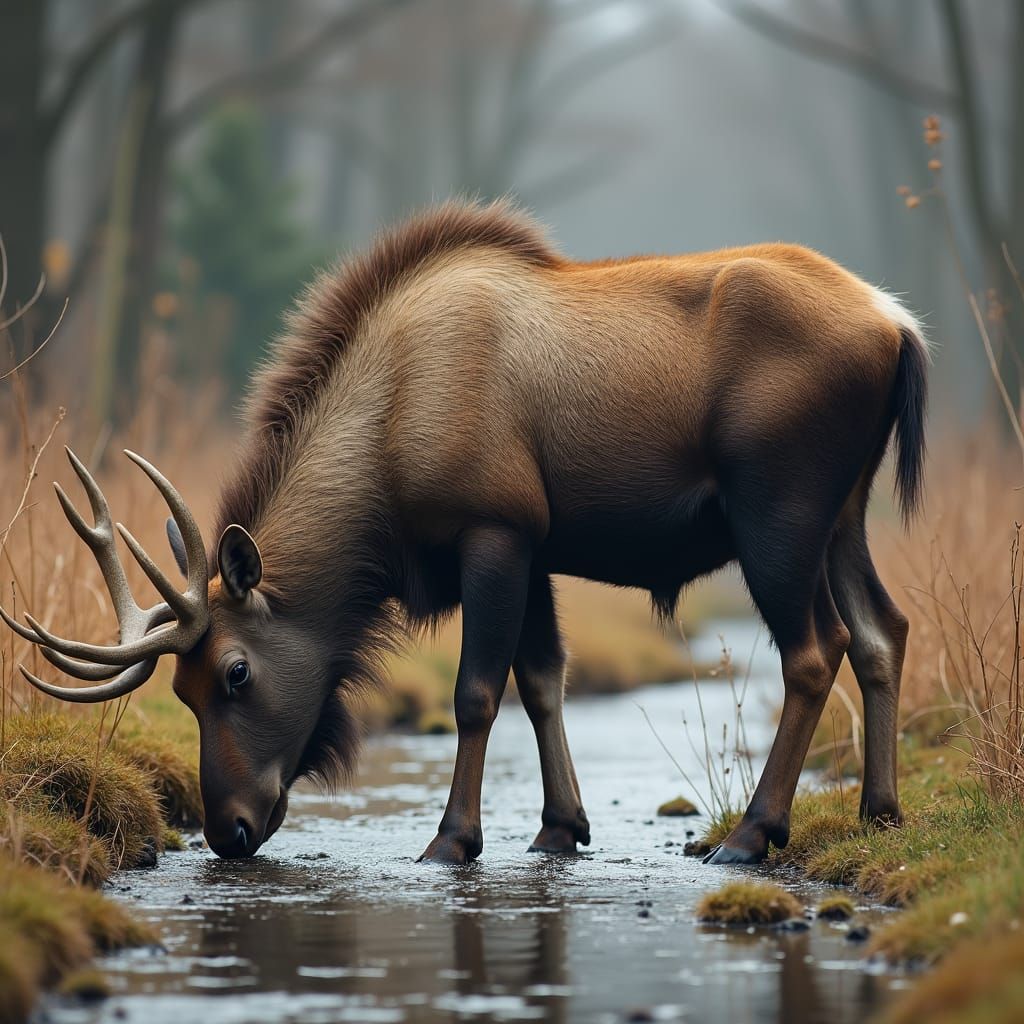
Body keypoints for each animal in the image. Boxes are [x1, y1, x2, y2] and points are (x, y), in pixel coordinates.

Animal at [1, 200, 927, 865]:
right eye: (182, 690)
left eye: (235, 671)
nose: (228, 830)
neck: (382, 458)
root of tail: (899, 327)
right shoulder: (537, 546)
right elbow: (544, 677)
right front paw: (560, 826)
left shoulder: (494, 527)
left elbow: (476, 692)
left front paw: (453, 838)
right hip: (843, 514)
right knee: (884, 629)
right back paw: (880, 811)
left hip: (778, 508)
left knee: (816, 650)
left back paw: (752, 833)